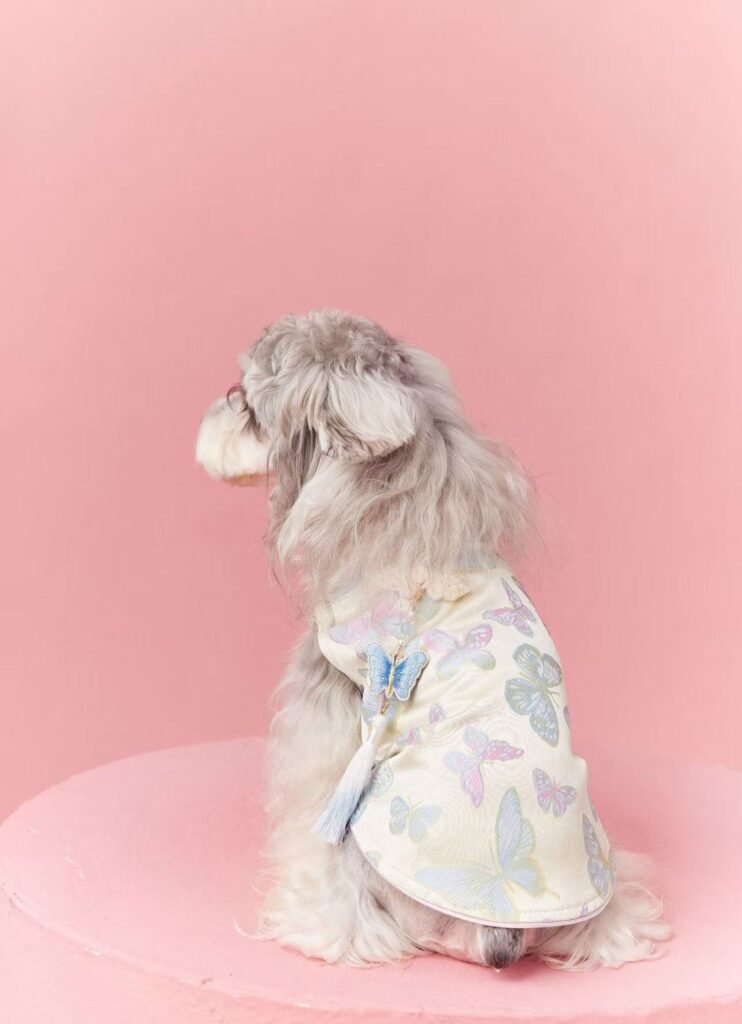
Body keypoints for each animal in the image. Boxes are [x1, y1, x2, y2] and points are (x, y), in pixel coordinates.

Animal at [196, 309, 669, 969]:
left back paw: (307, 916)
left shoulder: (327, 717)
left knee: (355, 914)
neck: (394, 490)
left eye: (246, 401)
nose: (214, 407)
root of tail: (501, 934)